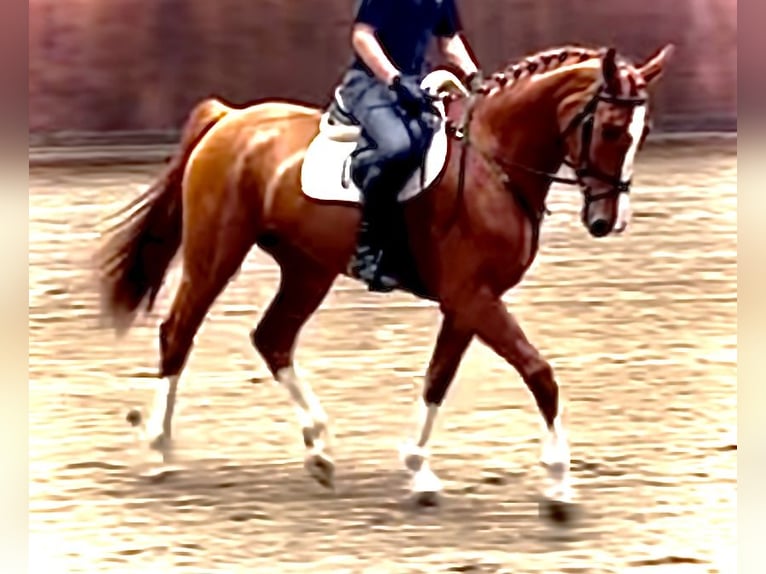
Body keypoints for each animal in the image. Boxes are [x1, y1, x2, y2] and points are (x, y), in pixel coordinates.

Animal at [96, 43, 673, 513]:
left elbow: (438, 379)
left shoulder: (466, 303)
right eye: (611, 129)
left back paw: (319, 450)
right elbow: (539, 373)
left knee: (273, 337)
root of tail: (230, 118)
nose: (608, 221)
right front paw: (558, 487)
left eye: (642, 134)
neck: (493, 162)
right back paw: (159, 449)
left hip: (308, 268)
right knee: (179, 331)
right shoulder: (474, 297)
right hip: (216, 253)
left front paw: (419, 471)